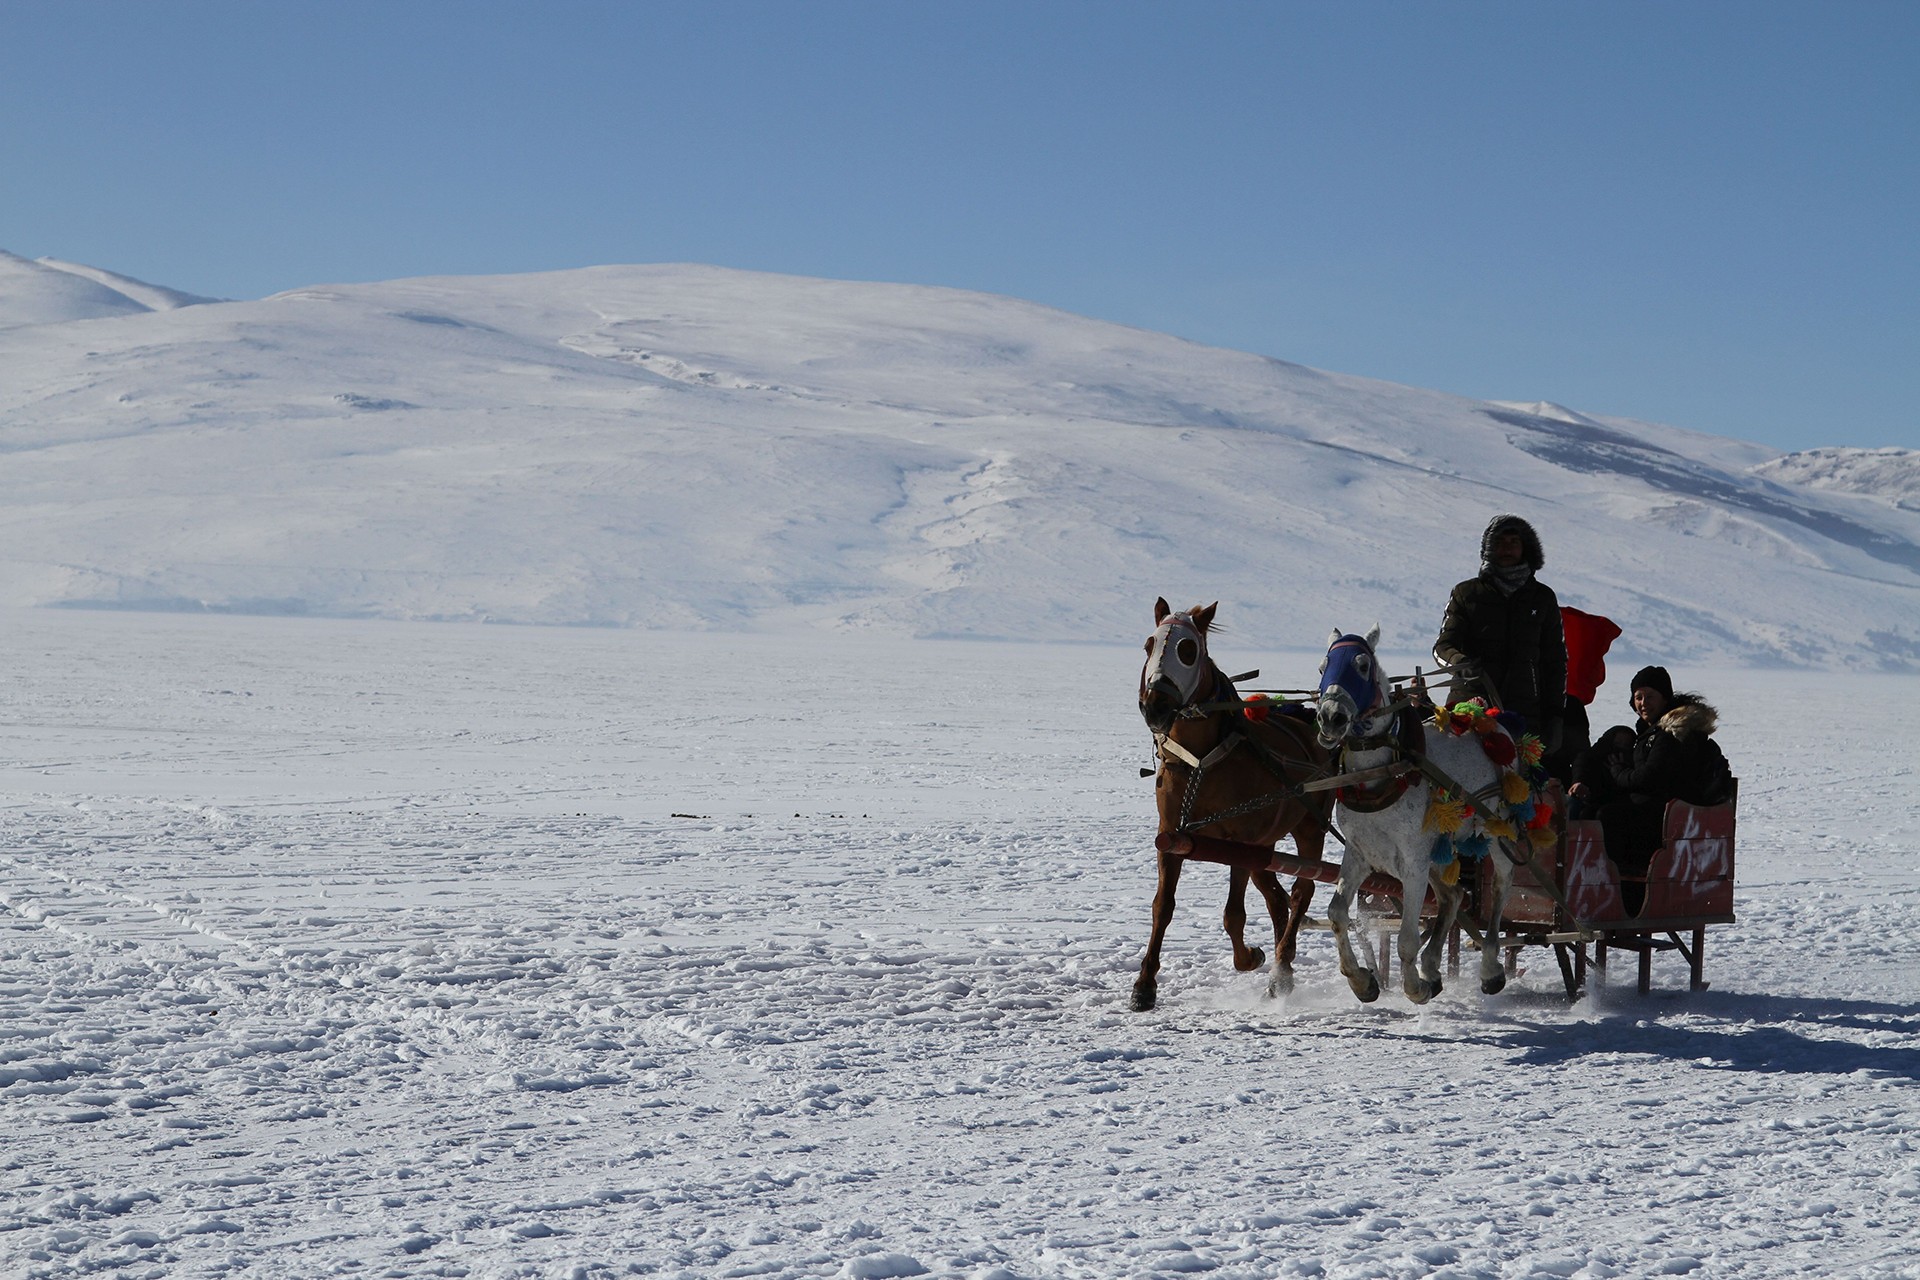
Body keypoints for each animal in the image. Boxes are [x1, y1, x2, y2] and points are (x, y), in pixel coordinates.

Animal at [1128, 598, 1328, 1013]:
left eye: (1188, 649)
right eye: (1148, 644)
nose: (1154, 705)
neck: (1203, 761)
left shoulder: (1240, 842)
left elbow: (1234, 914)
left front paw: (1250, 957)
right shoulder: (1171, 837)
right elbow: (1162, 907)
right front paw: (1144, 985)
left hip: (1309, 828)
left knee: (1301, 891)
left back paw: (1280, 969)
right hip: (1268, 844)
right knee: (1277, 900)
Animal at [1320, 625, 1512, 1005]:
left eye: (1362, 665)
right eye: (1324, 666)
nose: (1330, 716)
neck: (1379, 774)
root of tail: (1487, 717)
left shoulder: (1412, 863)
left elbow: (1407, 939)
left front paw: (1415, 988)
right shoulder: (1360, 853)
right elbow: (1337, 914)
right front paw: (1362, 982)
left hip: (1496, 831)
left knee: (1501, 885)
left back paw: (1490, 969)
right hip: (1438, 851)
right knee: (1453, 897)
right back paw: (1433, 967)